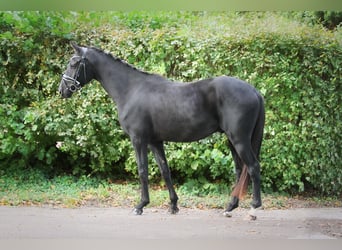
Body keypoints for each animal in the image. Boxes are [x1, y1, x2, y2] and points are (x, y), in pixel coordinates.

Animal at [60, 42, 266, 218]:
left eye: (74, 63)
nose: (62, 90)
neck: (131, 89)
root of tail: (254, 91)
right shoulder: (155, 141)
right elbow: (165, 170)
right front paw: (173, 205)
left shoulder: (138, 139)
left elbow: (142, 170)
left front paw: (140, 205)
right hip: (232, 140)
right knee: (240, 169)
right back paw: (230, 207)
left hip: (239, 139)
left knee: (253, 167)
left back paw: (253, 208)